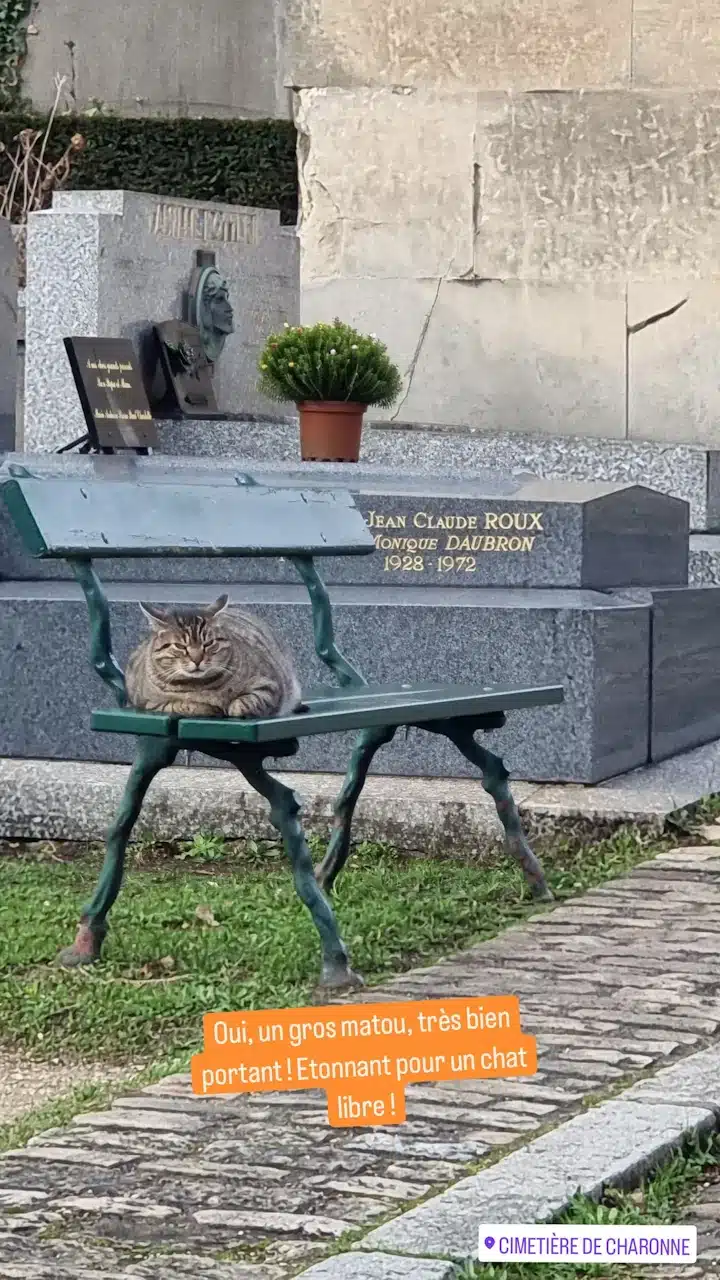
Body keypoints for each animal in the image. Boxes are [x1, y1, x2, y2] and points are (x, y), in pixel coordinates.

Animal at [124, 591, 301, 721]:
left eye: (208, 643)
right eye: (180, 646)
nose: (197, 659)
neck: (199, 686)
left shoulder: (269, 683)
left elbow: (246, 702)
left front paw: (232, 707)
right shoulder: (149, 704)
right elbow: (182, 705)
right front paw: (207, 707)